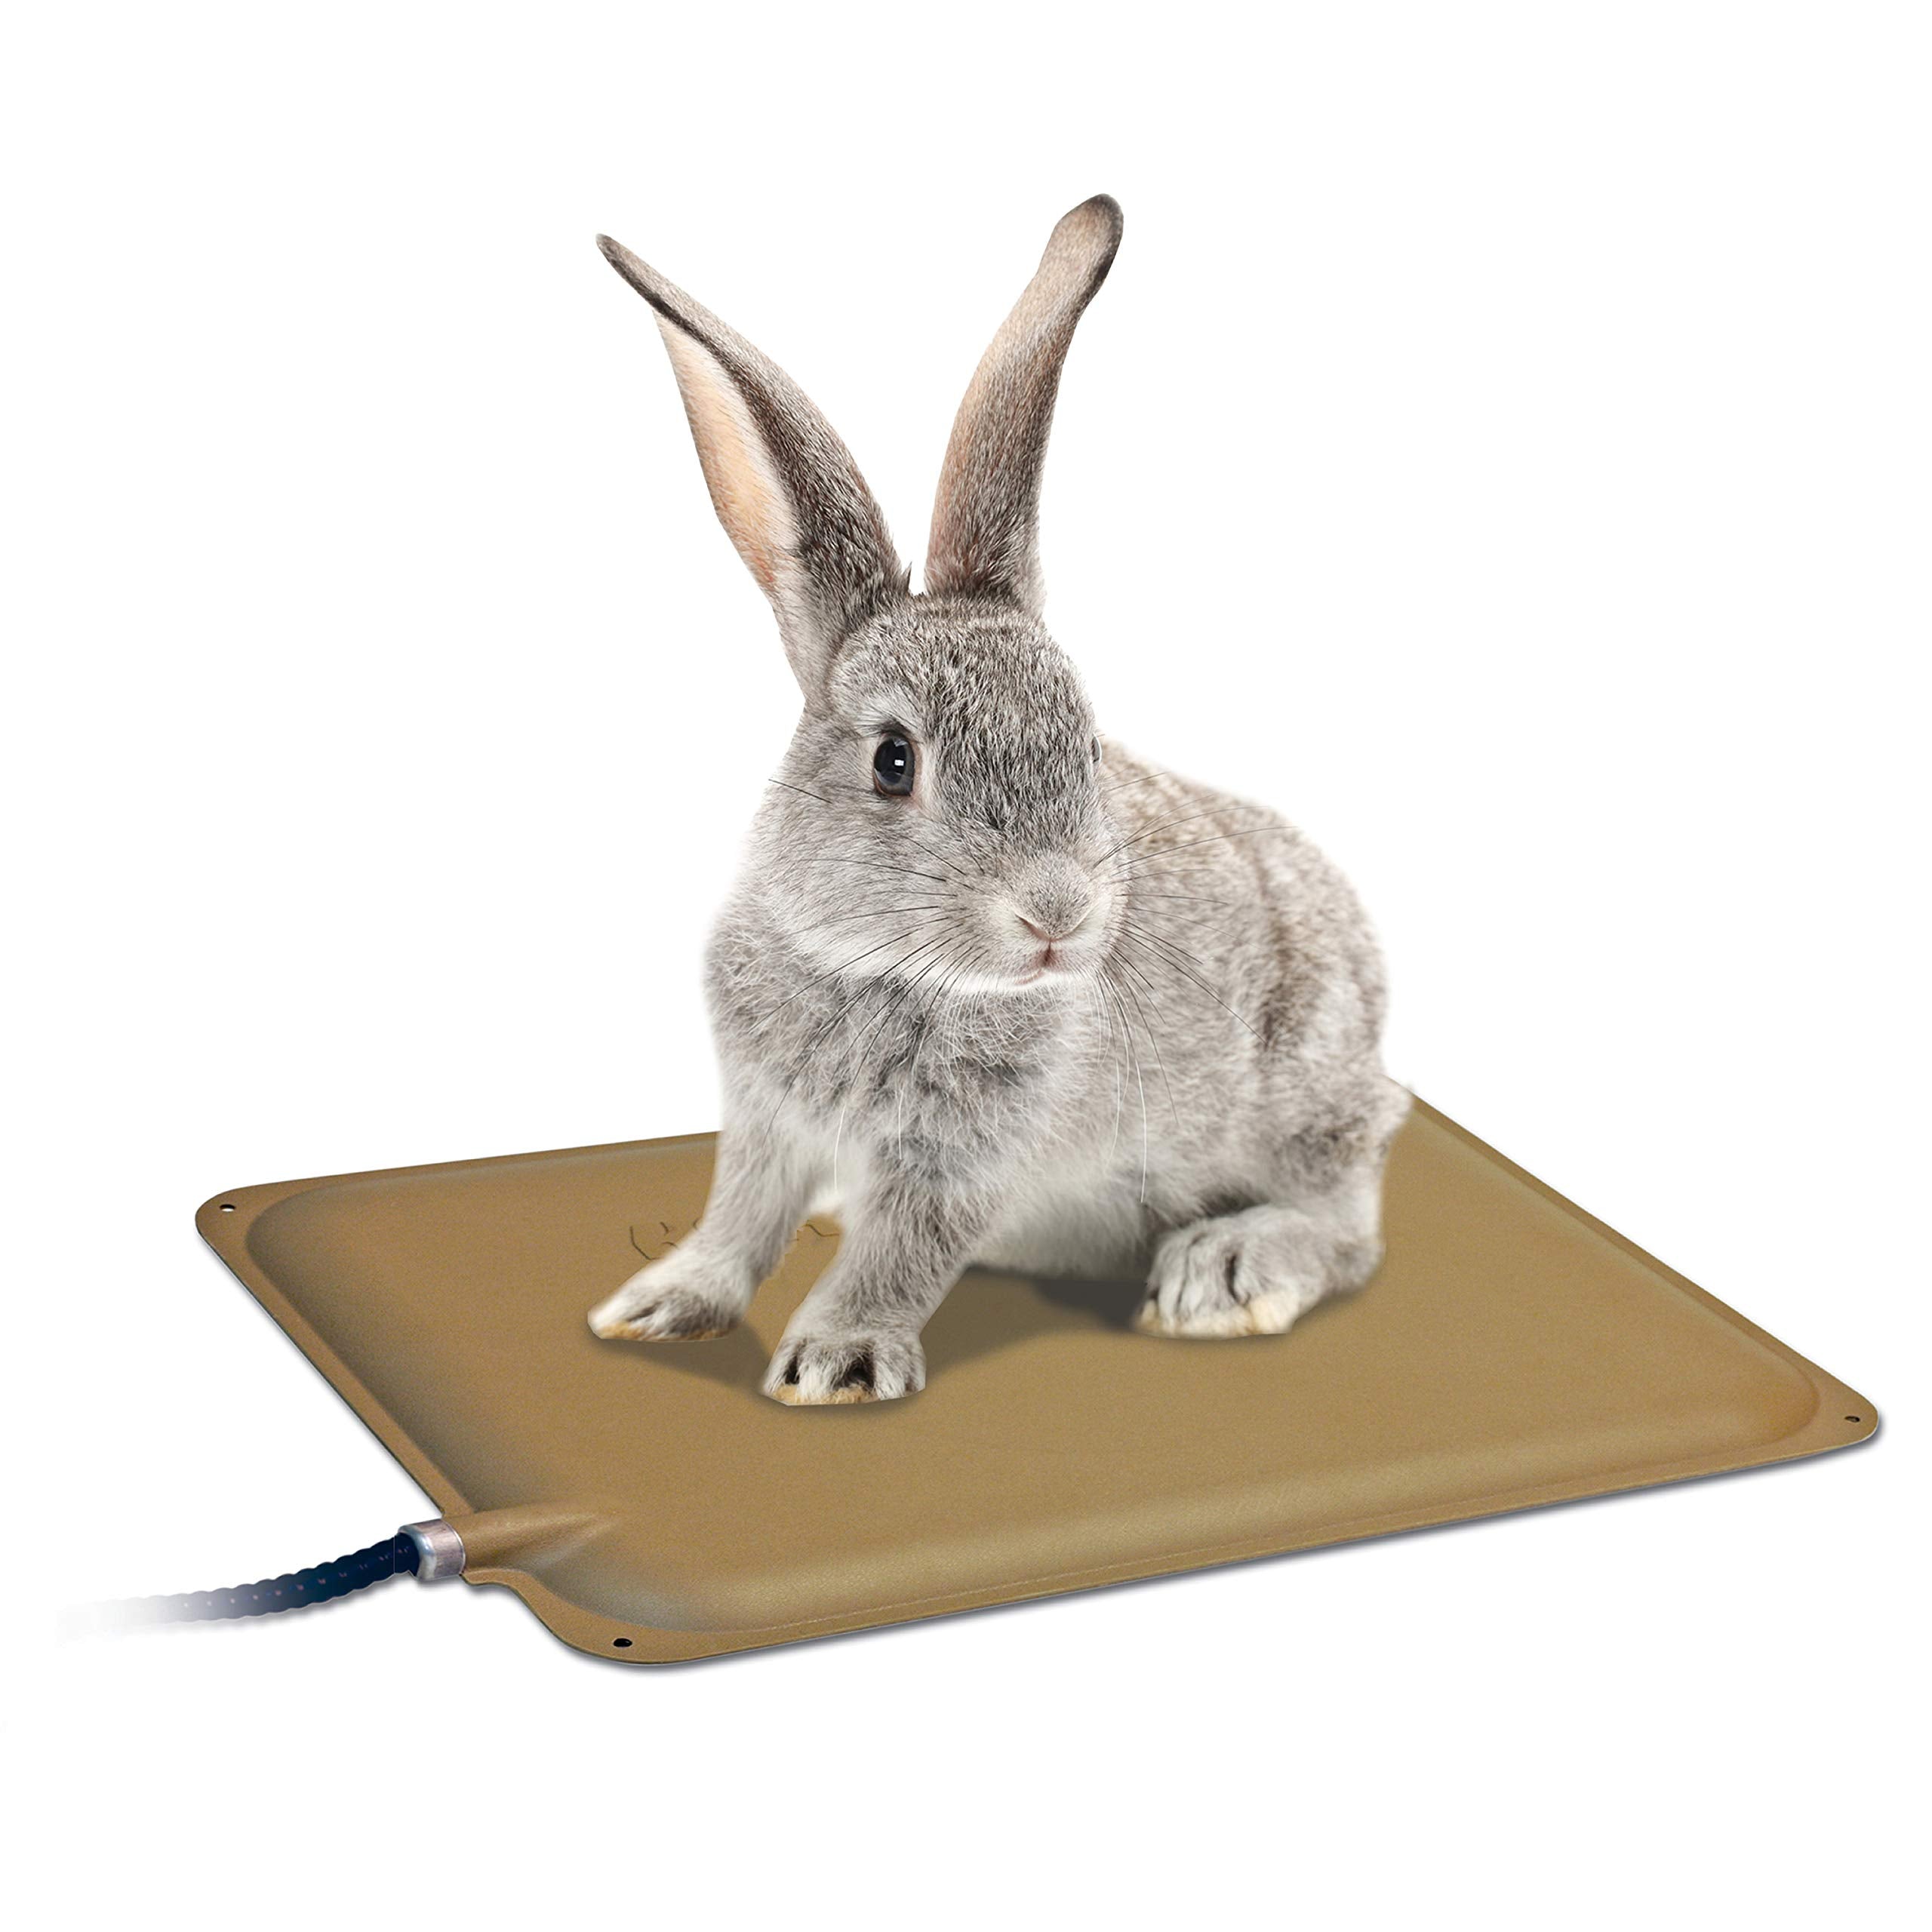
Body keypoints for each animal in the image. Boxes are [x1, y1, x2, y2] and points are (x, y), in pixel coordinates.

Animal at [587, 194, 1409, 1404]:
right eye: (894, 760)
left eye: (1089, 748)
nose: (1057, 913)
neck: (883, 968)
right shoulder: (766, 1120)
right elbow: (741, 1217)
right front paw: (657, 1306)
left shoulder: (964, 1158)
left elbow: (899, 1251)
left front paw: (834, 1362)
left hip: (1304, 1093)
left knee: (1349, 1225)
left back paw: (1225, 1271)